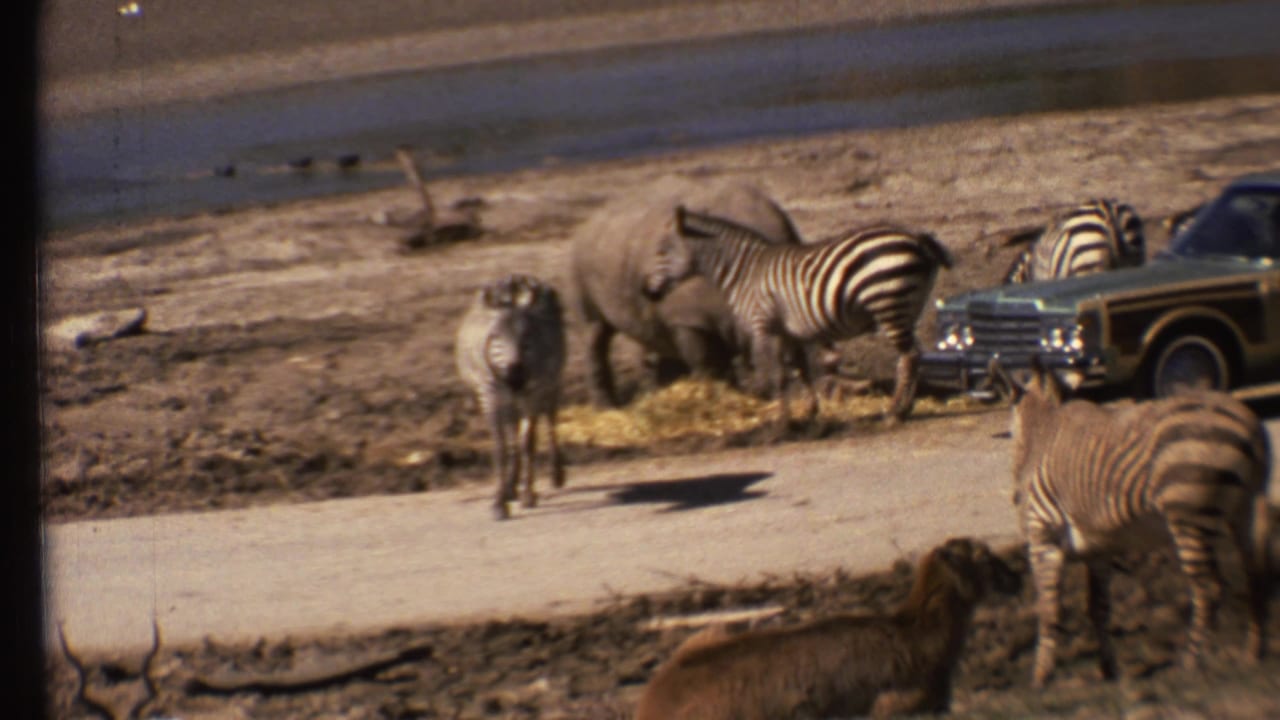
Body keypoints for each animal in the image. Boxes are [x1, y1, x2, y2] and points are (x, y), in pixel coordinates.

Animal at [455, 274, 567, 520]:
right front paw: (499, 502)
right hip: (510, 402)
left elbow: (528, 443)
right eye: (495, 337)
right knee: (513, 435)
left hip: (552, 383)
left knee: (550, 420)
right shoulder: (491, 396)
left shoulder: (532, 394)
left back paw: (556, 474)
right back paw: (510, 487)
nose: (514, 378)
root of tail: (515, 279)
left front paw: (528, 495)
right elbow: (502, 448)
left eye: (528, 338)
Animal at [645, 206, 953, 431]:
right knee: (914, 357)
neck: (744, 274)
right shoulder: (787, 331)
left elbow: (778, 375)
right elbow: (799, 369)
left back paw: (894, 412)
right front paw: (809, 413)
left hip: (889, 303)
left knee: (908, 358)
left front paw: (782, 423)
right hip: (907, 307)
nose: (648, 292)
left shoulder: (764, 326)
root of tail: (916, 239)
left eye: (661, 252)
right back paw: (905, 408)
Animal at [988, 356, 1271, 687]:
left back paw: (1190, 664)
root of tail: (1249, 423)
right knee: (1256, 578)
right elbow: (1098, 607)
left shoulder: (1043, 537)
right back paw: (1252, 656)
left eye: (1011, 432)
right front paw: (1108, 671)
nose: (1016, 498)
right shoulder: (1097, 548)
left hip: (1187, 513)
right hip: (1245, 511)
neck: (1043, 434)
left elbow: (1048, 609)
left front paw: (1040, 677)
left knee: (1209, 588)